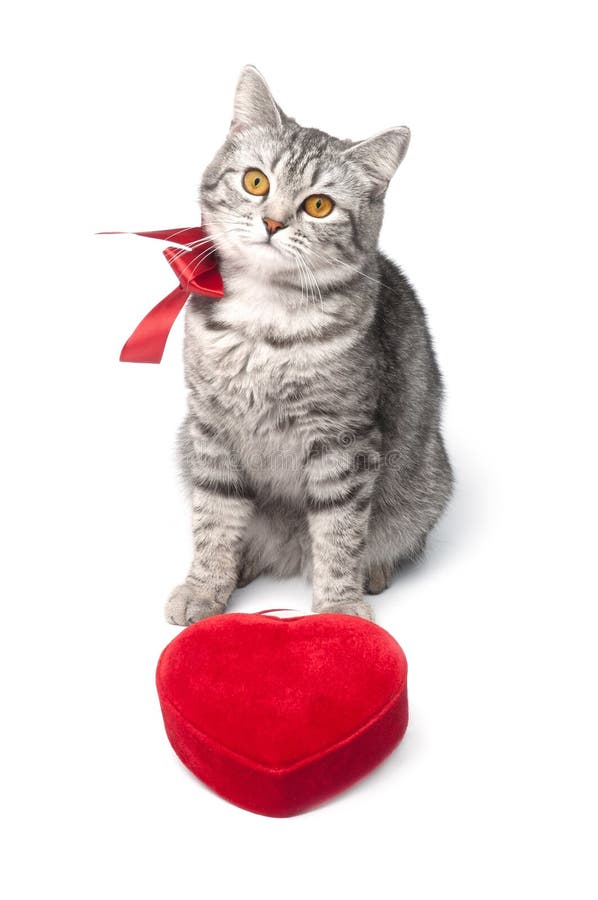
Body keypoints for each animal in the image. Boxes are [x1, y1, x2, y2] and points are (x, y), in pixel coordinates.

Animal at [165, 65, 454, 624]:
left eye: (319, 206)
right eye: (256, 181)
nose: (273, 222)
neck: (264, 319)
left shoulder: (343, 438)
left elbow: (340, 532)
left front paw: (339, 606)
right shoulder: (209, 427)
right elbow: (215, 519)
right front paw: (206, 586)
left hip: (424, 487)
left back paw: (374, 570)